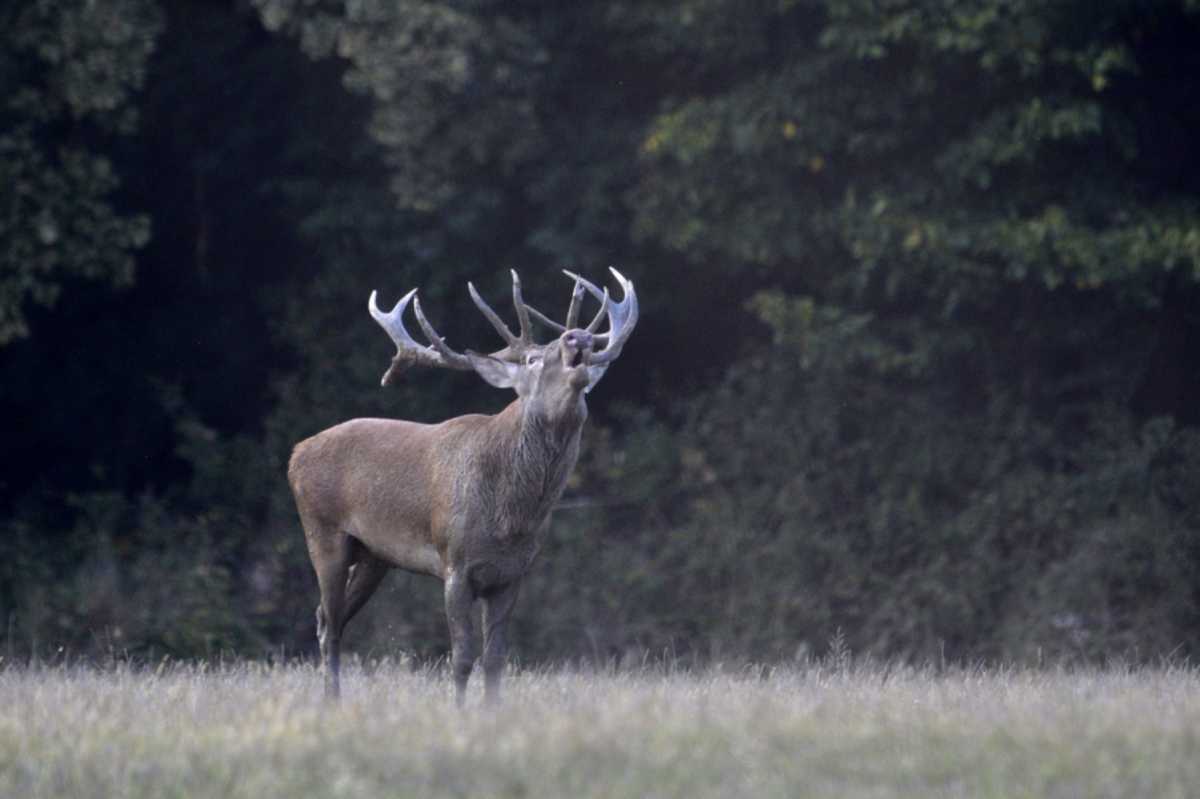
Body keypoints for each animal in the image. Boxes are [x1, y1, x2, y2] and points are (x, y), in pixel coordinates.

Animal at [286, 268, 638, 705]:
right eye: (533, 359)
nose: (578, 337)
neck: (511, 517)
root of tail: (296, 453)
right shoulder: (454, 564)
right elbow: (462, 657)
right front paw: (459, 711)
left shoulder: (512, 575)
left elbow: (496, 659)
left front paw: (492, 711)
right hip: (322, 532)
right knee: (329, 623)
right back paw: (332, 701)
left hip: (374, 557)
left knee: (326, 618)